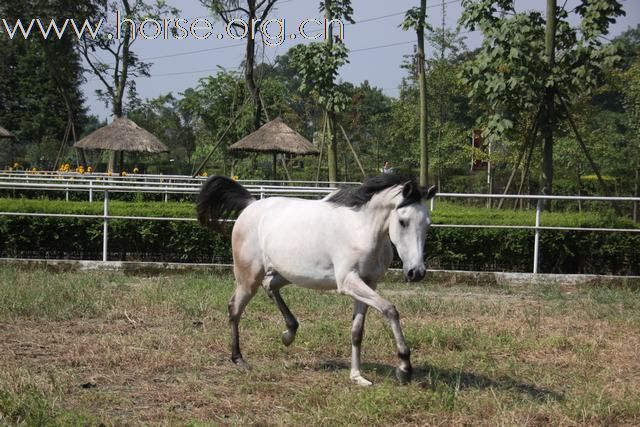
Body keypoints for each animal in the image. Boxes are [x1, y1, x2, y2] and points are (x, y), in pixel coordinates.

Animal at [198, 176, 438, 386]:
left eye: (427, 223)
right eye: (403, 221)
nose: (416, 272)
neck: (361, 230)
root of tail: (251, 205)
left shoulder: (369, 284)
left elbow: (357, 331)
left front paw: (357, 377)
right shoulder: (348, 282)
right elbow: (390, 310)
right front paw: (404, 368)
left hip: (285, 273)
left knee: (270, 286)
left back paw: (289, 334)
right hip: (248, 278)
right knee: (235, 308)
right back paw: (239, 360)